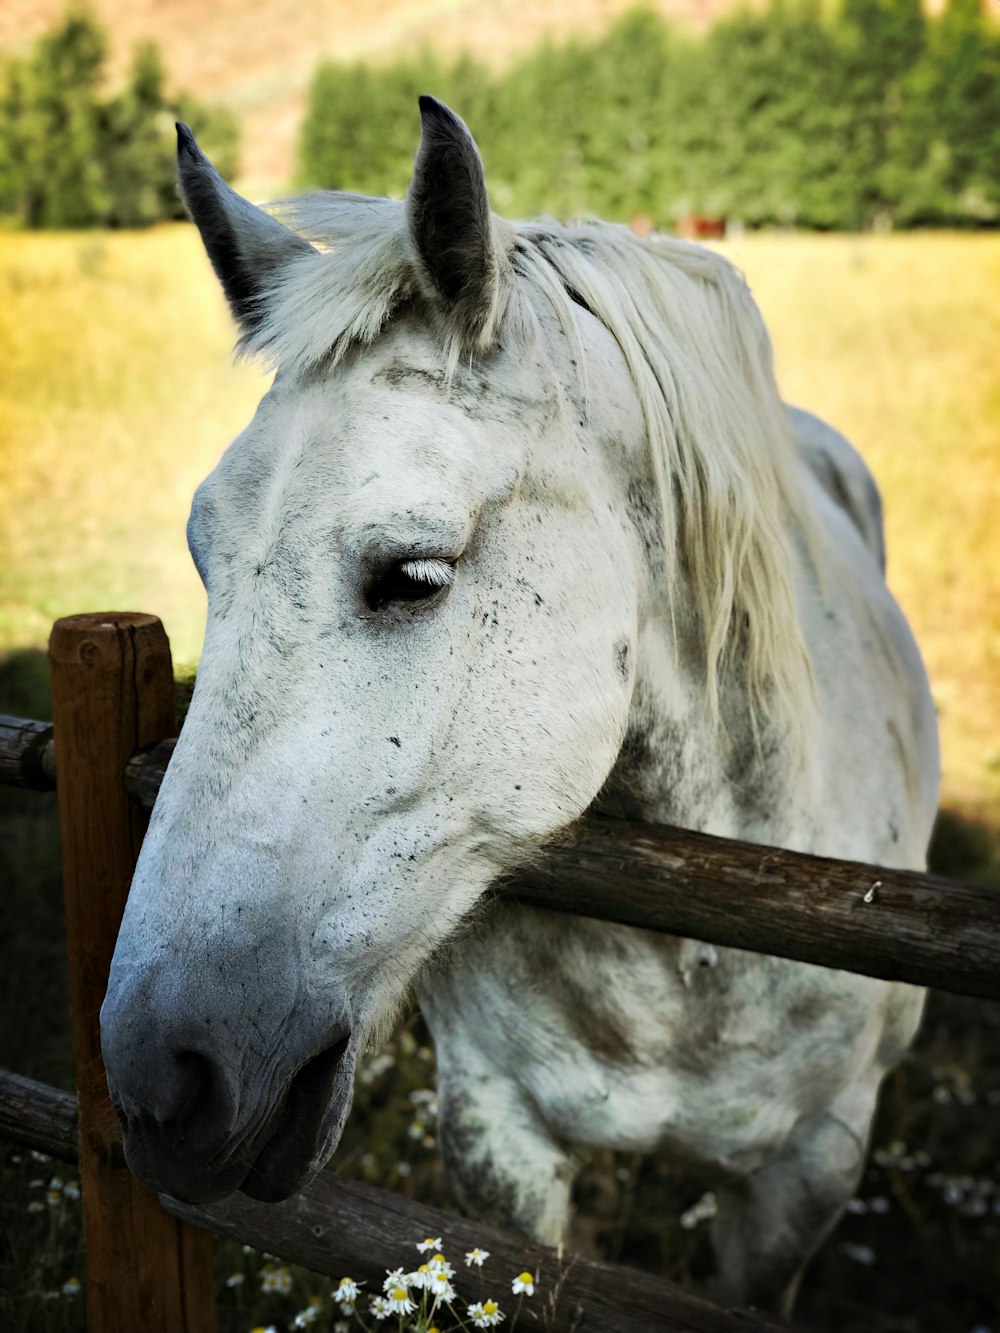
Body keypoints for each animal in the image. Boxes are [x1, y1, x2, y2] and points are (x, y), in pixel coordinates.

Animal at [102, 98, 938, 1306]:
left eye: (413, 573)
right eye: (203, 558)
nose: (165, 1083)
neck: (696, 937)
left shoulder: (808, 1170)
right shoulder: (498, 1131)